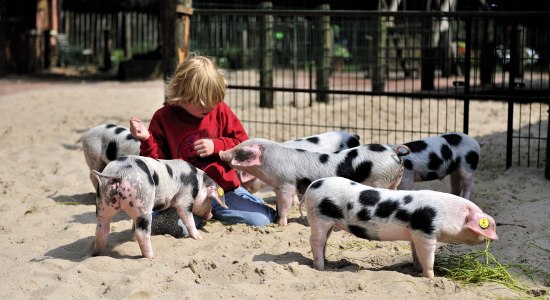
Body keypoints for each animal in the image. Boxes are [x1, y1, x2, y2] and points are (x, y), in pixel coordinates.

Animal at [92, 155, 226, 258]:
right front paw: (199, 238)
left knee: (101, 230)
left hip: (103, 203)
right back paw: (151, 257)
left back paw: (97, 254)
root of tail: (119, 173)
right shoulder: (185, 197)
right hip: (143, 202)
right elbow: (188, 219)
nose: (211, 215)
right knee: (142, 233)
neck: (198, 182)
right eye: (210, 199)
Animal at [220, 138, 410, 225]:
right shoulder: (278, 186)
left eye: (239, 150)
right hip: (393, 181)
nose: (222, 152)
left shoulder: (286, 184)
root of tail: (393, 152)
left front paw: (281, 224)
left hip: (380, 180)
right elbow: (279, 205)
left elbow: (285, 205)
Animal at [304, 177, 498, 278]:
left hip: (328, 222)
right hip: (319, 218)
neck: (448, 213)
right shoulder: (426, 232)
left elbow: (416, 254)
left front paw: (416, 270)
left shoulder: (415, 234)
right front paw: (431, 277)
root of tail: (313, 185)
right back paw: (320, 268)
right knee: (315, 241)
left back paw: (328, 263)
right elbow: (428, 257)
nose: (495, 237)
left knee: (324, 241)